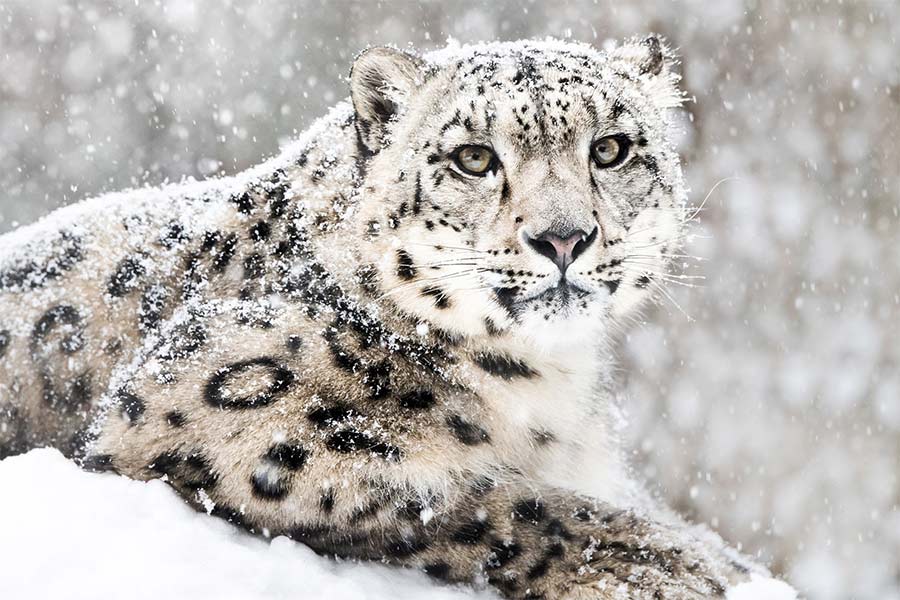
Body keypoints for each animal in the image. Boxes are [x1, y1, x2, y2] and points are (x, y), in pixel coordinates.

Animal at [0, 37, 774, 599]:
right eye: (473, 157)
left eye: (611, 148)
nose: (564, 237)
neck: (544, 383)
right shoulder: (204, 411)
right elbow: (478, 501)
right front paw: (685, 568)